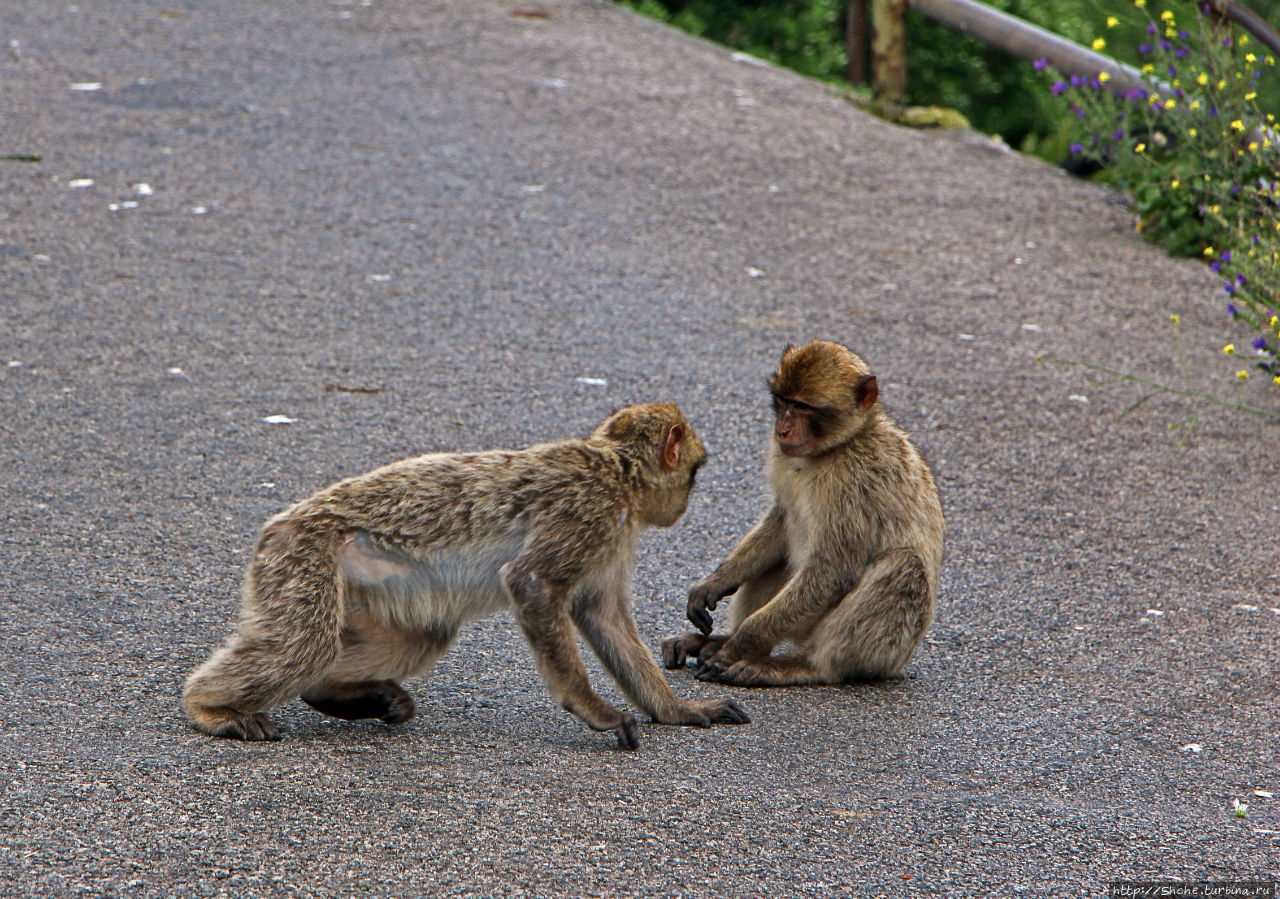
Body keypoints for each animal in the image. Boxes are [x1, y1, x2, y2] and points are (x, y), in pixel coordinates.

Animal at [184, 404, 747, 747]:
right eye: (694, 473)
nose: (684, 503)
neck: (615, 470)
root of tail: (278, 526)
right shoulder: (590, 511)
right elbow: (531, 583)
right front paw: (594, 710)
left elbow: (601, 613)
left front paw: (674, 709)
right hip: (301, 556)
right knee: (305, 646)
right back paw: (208, 708)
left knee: (425, 631)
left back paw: (330, 692)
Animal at [665, 340, 947, 686]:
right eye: (784, 401)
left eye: (804, 407)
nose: (782, 429)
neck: (832, 449)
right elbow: (781, 522)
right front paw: (716, 583)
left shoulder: (853, 483)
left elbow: (831, 571)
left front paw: (738, 645)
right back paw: (716, 641)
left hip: (888, 650)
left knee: (904, 565)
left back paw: (803, 665)